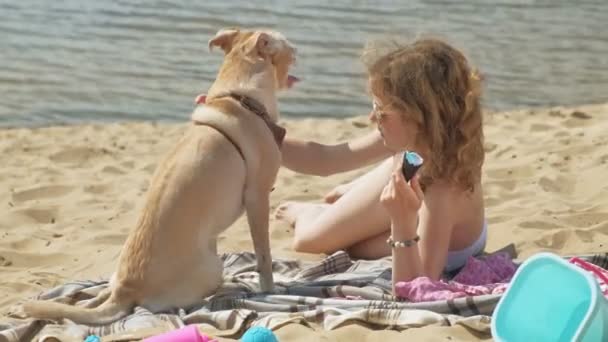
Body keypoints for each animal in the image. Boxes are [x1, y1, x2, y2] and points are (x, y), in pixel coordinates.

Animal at [22, 28, 298, 324]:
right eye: (286, 44)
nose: (298, 49)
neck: (240, 97)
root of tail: (126, 291)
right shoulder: (258, 199)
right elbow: (264, 257)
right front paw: (269, 288)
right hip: (214, 265)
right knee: (202, 296)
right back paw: (233, 285)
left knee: (99, 296)